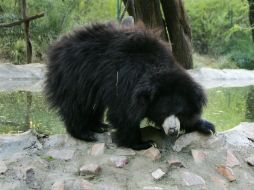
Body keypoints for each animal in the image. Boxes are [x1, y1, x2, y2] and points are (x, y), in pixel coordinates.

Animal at [45, 22, 214, 150]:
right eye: (163, 113)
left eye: (180, 113)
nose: (173, 131)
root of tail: (61, 42)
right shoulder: (125, 81)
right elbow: (124, 113)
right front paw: (142, 143)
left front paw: (205, 126)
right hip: (75, 75)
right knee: (77, 103)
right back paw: (84, 133)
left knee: (93, 104)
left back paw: (99, 126)